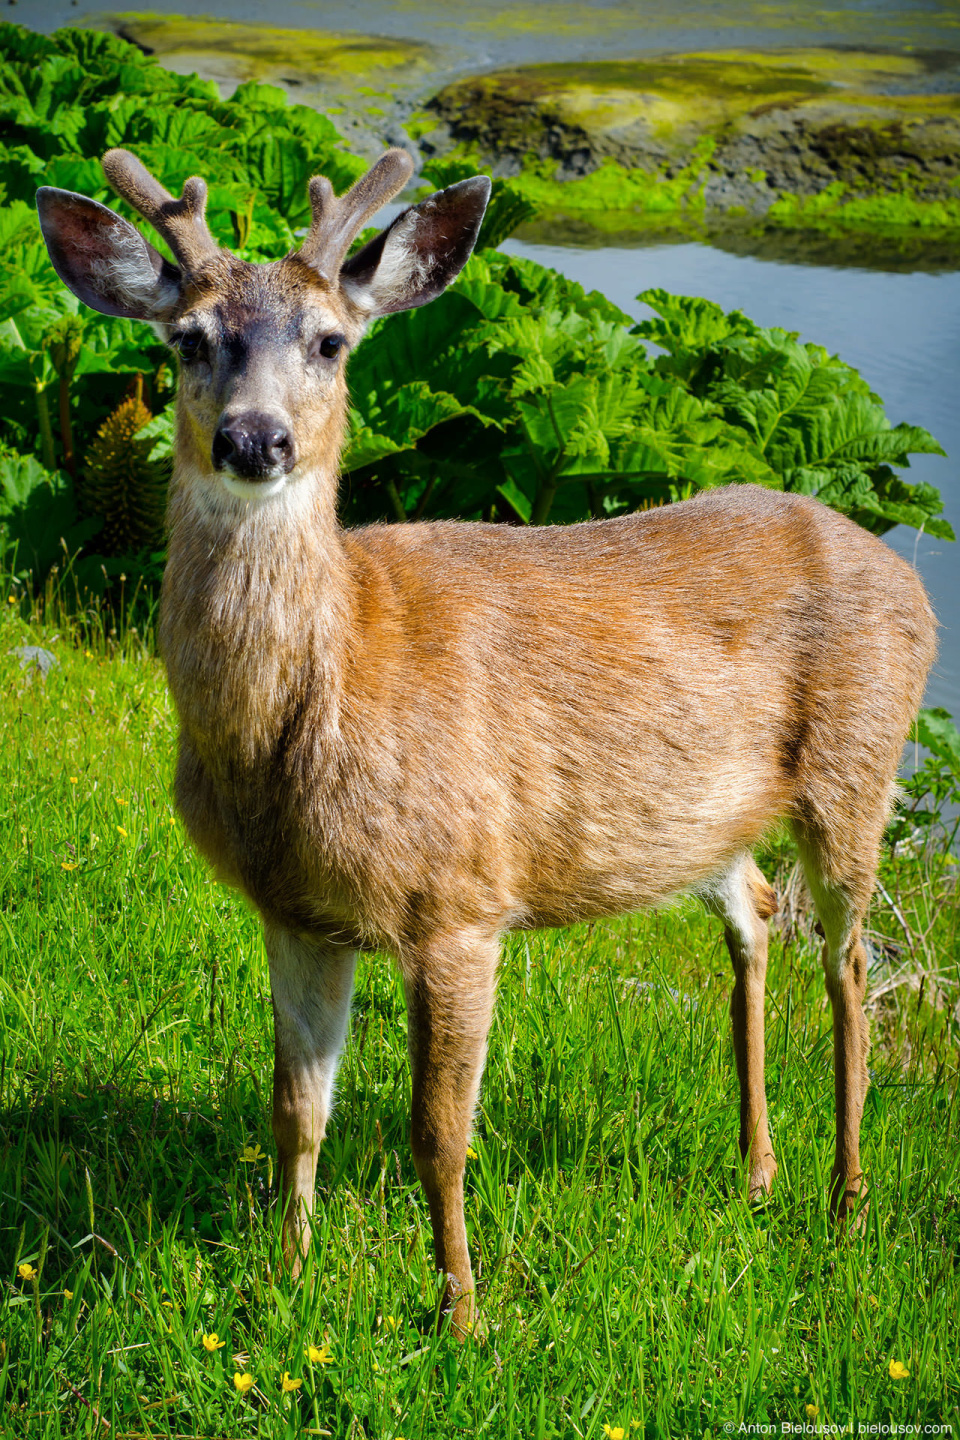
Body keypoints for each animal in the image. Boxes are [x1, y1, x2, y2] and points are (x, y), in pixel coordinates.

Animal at [35, 140, 932, 1330]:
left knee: (849, 962)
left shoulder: (461, 898)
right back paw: (756, 1173)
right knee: (753, 913)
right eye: (188, 338)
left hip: (859, 767)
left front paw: (460, 1314)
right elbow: (295, 1111)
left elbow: (437, 1131)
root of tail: (906, 577)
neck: (320, 704)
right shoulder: (297, 913)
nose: (255, 438)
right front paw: (286, 1279)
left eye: (331, 341)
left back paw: (846, 1199)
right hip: (708, 818)